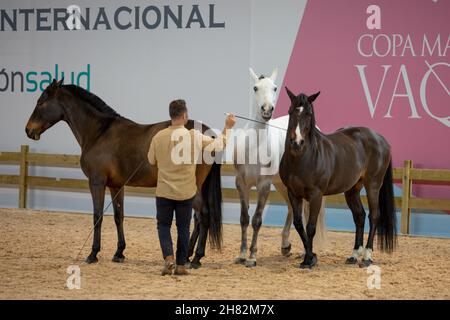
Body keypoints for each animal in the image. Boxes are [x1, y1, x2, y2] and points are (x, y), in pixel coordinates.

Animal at [25, 80, 221, 268]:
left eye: (41, 101)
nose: (28, 130)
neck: (99, 132)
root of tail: (207, 134)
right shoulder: (116, 185)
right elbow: (119, 216)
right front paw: (119, 252)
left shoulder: (97, 182)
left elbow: (97, 216)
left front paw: (93, 254)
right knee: (197, 219)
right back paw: (188, 255)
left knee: (203, 216)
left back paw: (196, 258)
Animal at [227, 67, 328, 268]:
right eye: (255, 87)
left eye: (274, 88)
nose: (267, 110)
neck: (255, 147)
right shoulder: (241, 183)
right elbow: (244, 218)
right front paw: (241, 255)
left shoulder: (264, 185)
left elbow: (257, 220)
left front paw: (252, 257)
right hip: (282, 184)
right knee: (290, 208)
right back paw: (285, 246)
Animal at [282, 87, 398, 268]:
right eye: (291, 111)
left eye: (308, 113)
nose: (297, 142)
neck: (302, 158)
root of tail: (380, 138)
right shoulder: (293, 193)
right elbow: (299, 225)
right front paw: (311, 256)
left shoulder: (316, 195)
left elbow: (311, 227)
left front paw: (309, 260)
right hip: (352, 190)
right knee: (359, 216)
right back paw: (354, 255)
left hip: (373, 185)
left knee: (374, 216)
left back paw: (367, 257)